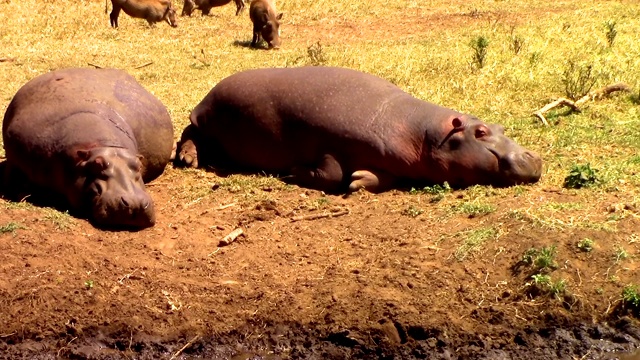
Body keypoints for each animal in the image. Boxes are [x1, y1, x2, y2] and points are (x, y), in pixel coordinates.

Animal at [176, 65, 544, 193]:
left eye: (499, 126)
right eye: (480, 132)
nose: (533, 157)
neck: (425, 134)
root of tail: (207, 95)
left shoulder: (397, 161)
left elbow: (380, 177)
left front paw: (361, 180)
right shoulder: (330, 140)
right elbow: (331, 171)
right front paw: (294, 171)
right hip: (206, 119)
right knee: (188, 133)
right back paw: (188, 160)